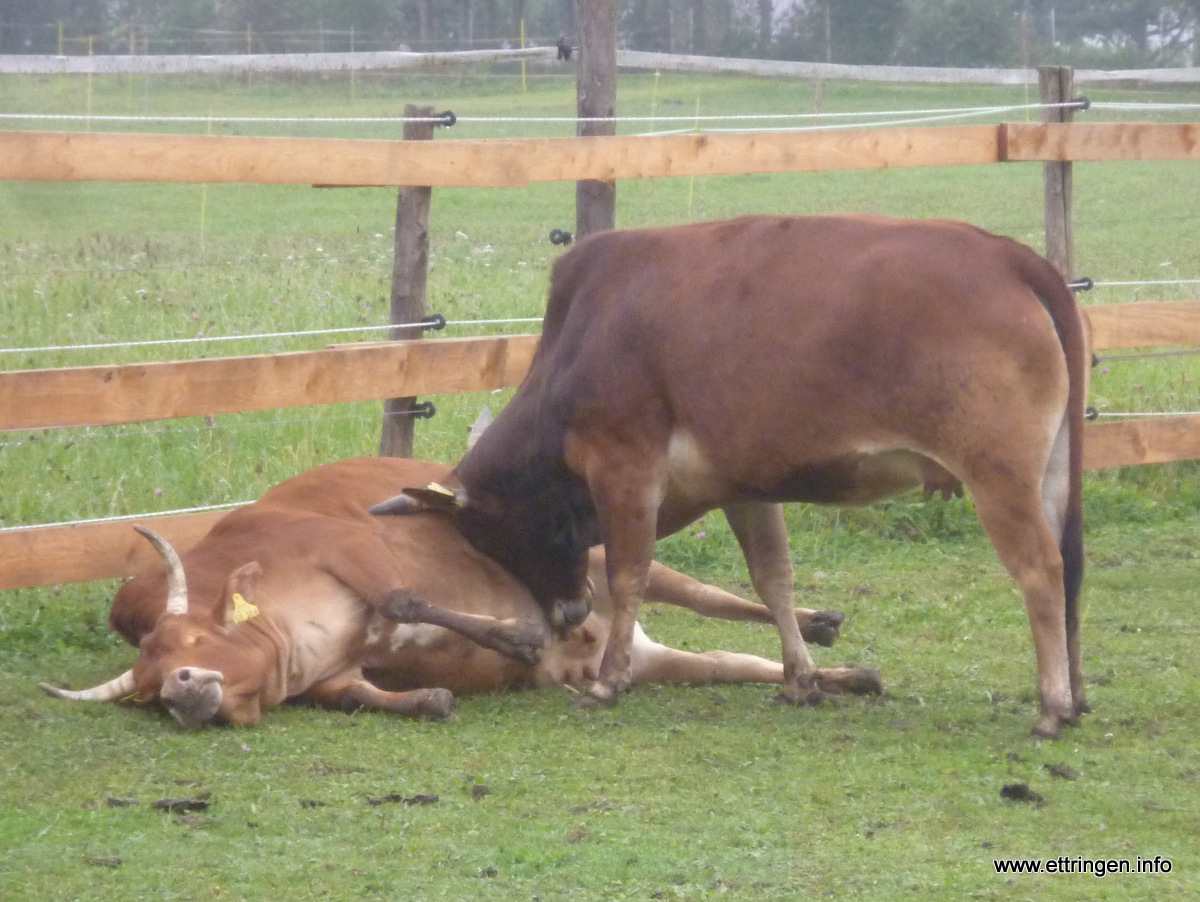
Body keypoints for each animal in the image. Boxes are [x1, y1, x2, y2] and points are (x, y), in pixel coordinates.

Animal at [39, 457, 875, 728]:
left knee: (722, 597)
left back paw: (818, 623)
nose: (181, 690)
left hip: (608, 562)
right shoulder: (335, 675)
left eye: (187, 643)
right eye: (145, 690)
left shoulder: (344, 546)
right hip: (648, 658)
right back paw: (842, 675)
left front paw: (515, 636)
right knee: (738, 662)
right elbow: (360, 693)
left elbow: (404, 601)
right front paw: (425, 698)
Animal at [371, 214, 1090, 738]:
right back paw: (1077, 694)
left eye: (496, 536)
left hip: (999, 477)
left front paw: (607, 681)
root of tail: (1009, 257)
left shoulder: (624, 465)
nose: (567, 613)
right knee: (1072, 569)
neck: (579, 339)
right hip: (1053, 475)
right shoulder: (746, 489)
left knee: (1042, 571)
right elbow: (774, 580)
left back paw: (1052, 705)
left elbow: (630, 574)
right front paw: (801, 679)